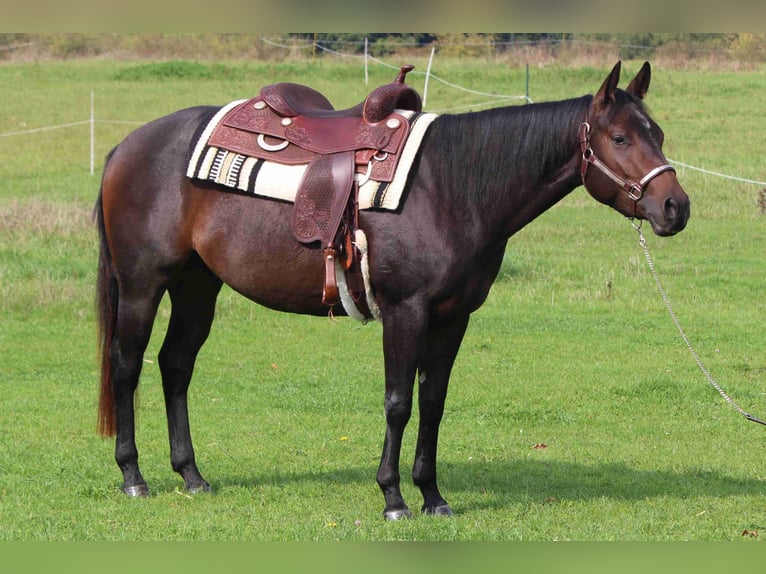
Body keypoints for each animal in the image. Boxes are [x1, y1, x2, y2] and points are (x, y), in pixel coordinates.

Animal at [95, 61, 690, 520]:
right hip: (144, 284)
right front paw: (394, 497)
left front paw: (433, 495)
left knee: (175, 364)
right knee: (126, 365)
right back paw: (133, 476)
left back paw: (191, 475)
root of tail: (128, 144)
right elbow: (398, 402)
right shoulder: (407, 311)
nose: (675, 208)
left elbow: (433, 401)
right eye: (620, 138)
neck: (451, 186)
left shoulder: (453, 317)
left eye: (658, 134)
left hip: (198, 285)